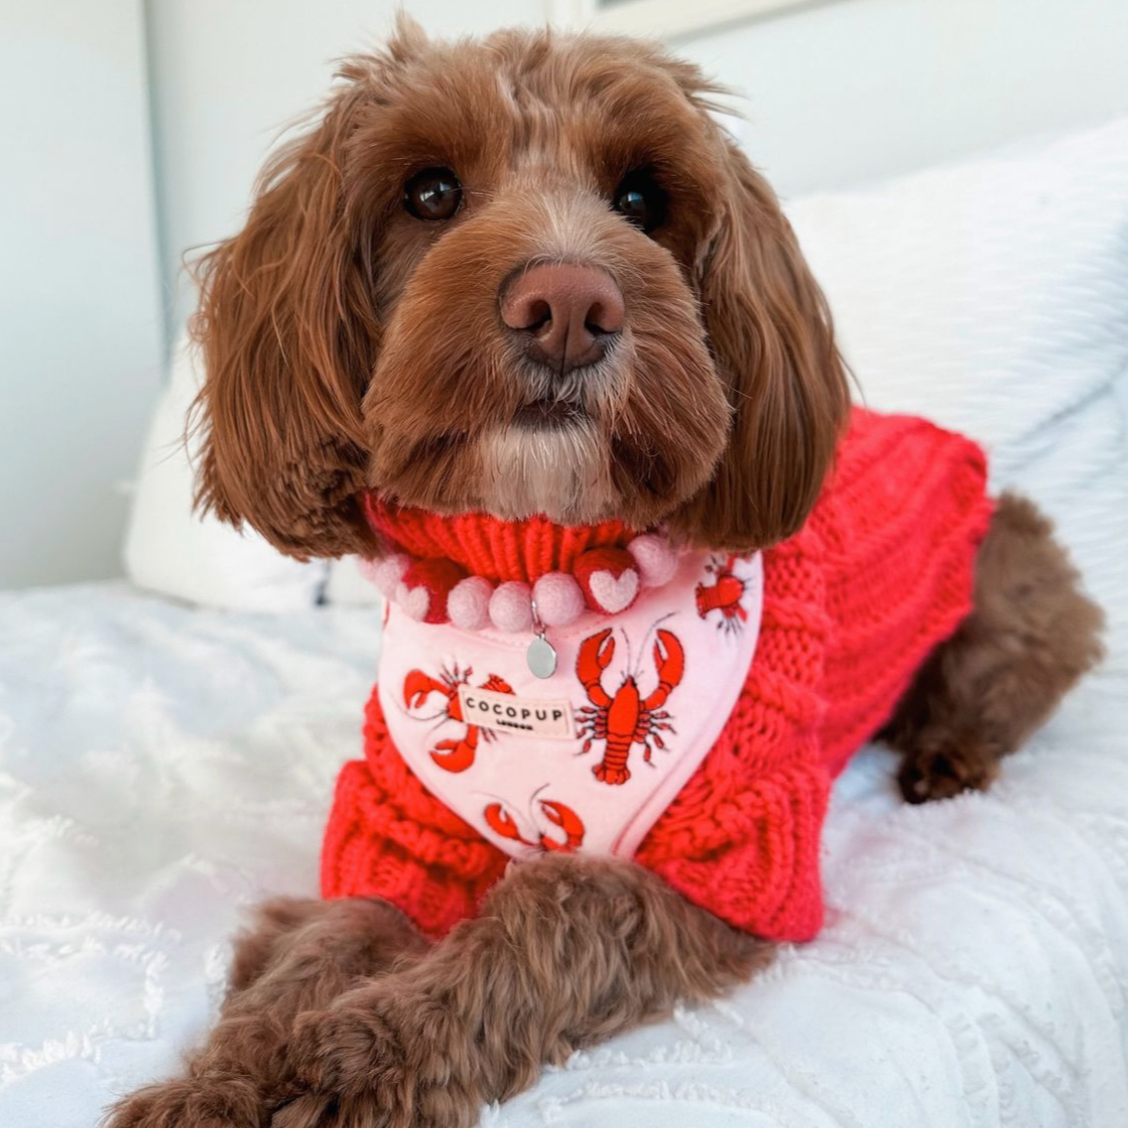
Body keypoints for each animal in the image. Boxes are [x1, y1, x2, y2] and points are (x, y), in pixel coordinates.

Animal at [103, 17, 1100, 1128]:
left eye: (640, 200)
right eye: (430, 192)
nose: (570, 303)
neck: (539, 574)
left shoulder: (726, 870)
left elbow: (554, 911)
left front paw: (348, 1058)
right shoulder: (396, 832)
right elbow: (329, 937)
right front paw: (229, 1076)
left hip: (1014, 582)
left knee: (1006, 681)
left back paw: (947, 753)